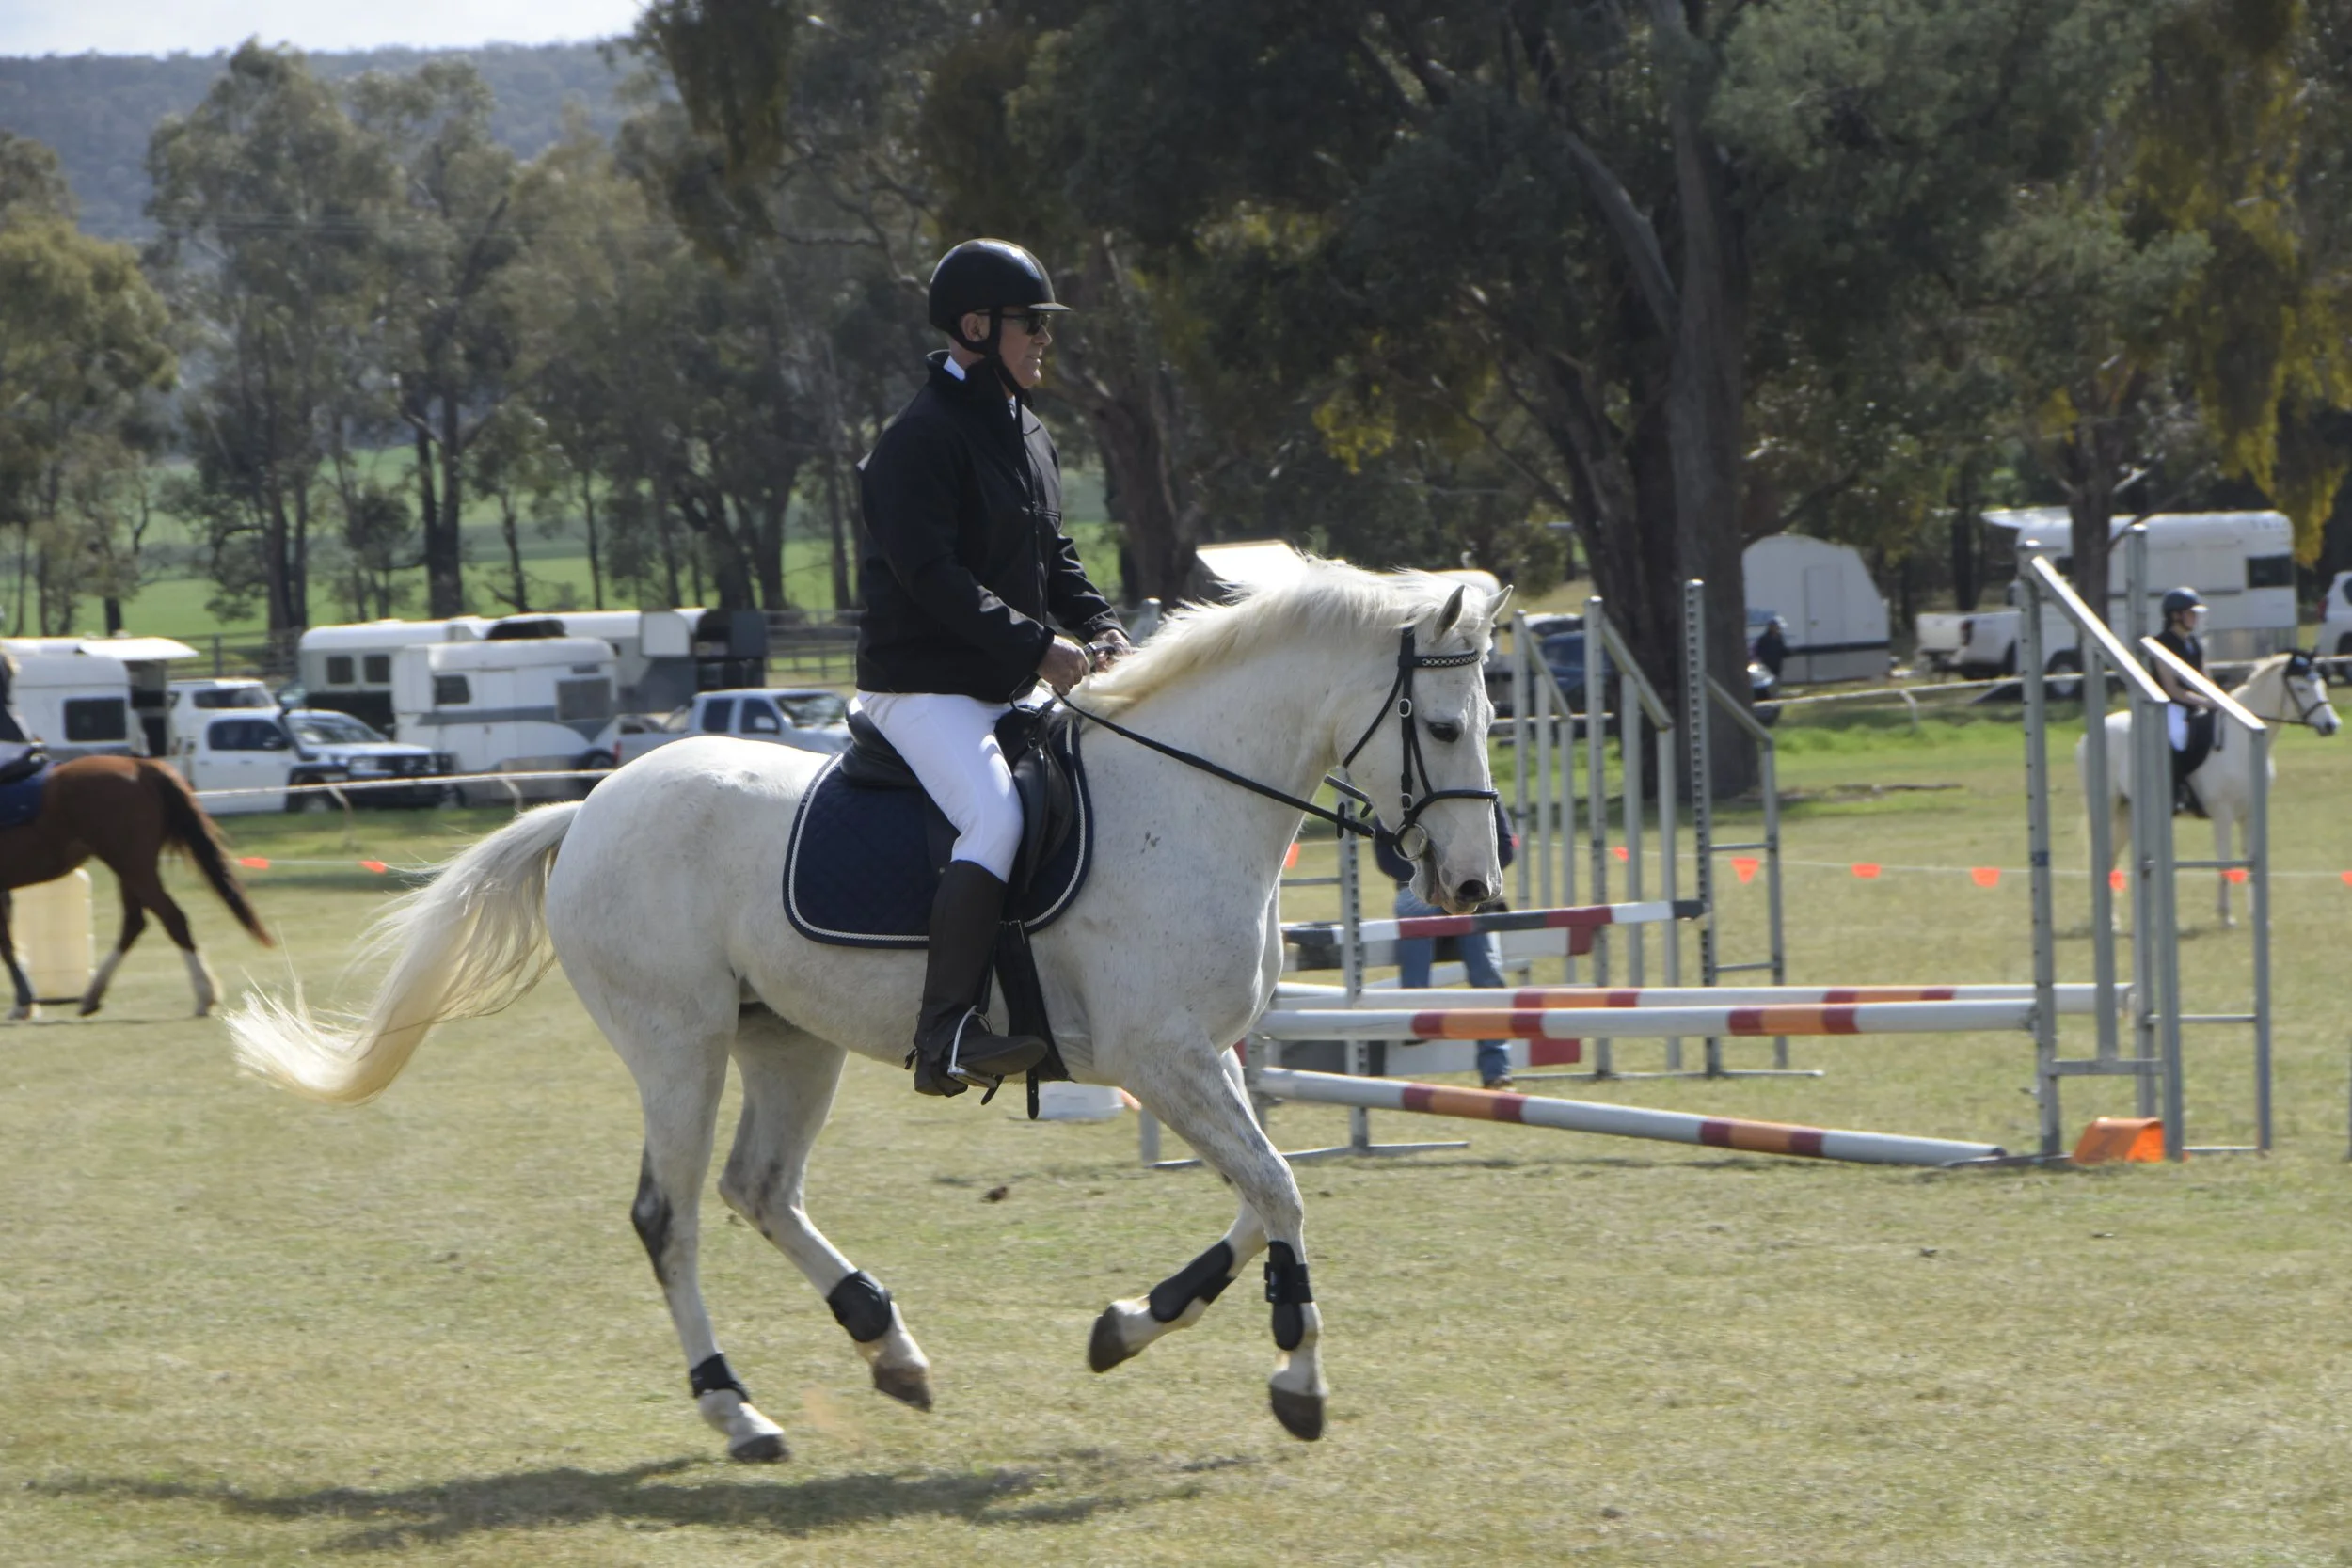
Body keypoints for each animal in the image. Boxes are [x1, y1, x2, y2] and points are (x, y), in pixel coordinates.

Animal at [0, 755, 273, 1018]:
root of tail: (141, 765)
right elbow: (8, 943)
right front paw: (25, 1002)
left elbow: (7, 945)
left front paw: (24, 1003)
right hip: (132, 870)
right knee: (135, 922)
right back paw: (94, 994)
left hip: (132, 867)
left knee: (172, 918)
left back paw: (204, 994)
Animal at [226, 560, 1509, 1458]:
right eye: (1445, 726)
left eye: (1488, 722)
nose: (1471, 886)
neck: (1183, 796)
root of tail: (589, 805)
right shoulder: (1160, 1057)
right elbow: (1278, 1190)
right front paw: (1297, 1379)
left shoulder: (1205, 1057)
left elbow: (1259, 1197)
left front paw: (1126, 1323)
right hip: (678, 1043)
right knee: (669, 1216)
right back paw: (737, 1411)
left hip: (788, 1040)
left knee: (758, 1188)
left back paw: (882, 1339)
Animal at [2077, 650, 2340, 927]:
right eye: (2301, 688)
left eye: (2321, 684)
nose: (2331, 725)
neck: (2240, 741)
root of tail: (2088, 735)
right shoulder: (2223, 813)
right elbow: (2224, 860)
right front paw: (2226, 916)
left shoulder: (2250, 814)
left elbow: (2251, 859)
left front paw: (2256, 916)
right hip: (2106, 807)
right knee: (2101, 856)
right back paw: (2109, 920)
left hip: (2127, 811)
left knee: (2111, 857)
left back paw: (2113, 919)